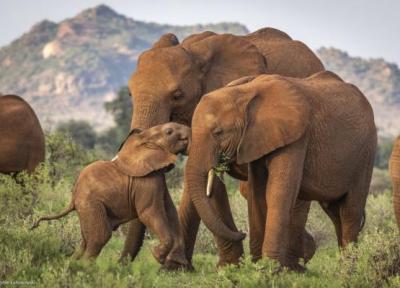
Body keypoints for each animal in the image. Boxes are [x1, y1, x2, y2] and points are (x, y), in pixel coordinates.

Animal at [32, 123, 191, 270]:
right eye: (169, 131)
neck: (144, 139)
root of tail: (73, 197)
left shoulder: (157, 179)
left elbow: (170, 211)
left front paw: (176, 263)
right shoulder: (146, 181)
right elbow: (149, 213)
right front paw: (157, 255)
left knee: (85, 240)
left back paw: (72, 264)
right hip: (91, 204)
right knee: (101, 236)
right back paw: (85, 269)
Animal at [124, 27, 324, 266]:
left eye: (177, 95)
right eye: (129, 94)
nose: (122, 262)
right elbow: (205, 179)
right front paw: (180, 267)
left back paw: (297, 260)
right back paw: (306, 250)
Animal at [187, 72, 376, 270]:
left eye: (218, 132)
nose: (242, 232)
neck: (245, 92)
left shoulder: (296, 137)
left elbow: (278, 192)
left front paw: (269, 269)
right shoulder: (255, 139)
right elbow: (257, 194)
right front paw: (257, 266)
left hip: (366, 154)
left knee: (350, 210)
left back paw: (348, 271)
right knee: (335, 212)